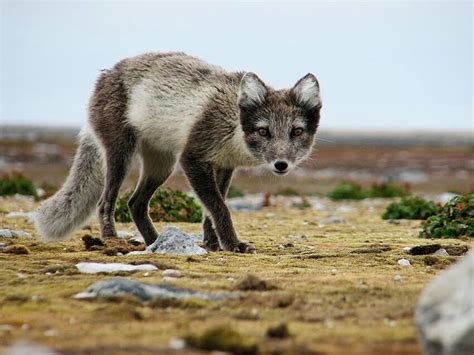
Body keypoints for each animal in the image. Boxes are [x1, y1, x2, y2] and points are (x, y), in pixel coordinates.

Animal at [35, 52, 320, 253]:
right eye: (263, 131)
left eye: (296, 131)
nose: (281, 165)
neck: (233, 126)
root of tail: (106, 75)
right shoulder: (193, 159)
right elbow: (220, 208)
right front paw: (233, 245)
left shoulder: (223, 165)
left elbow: (210, 211)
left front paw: (213, 244)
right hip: (122, 155)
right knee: (106, 202)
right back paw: (111, 239)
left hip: (162, 166)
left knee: (135, 203)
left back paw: (154, 241)